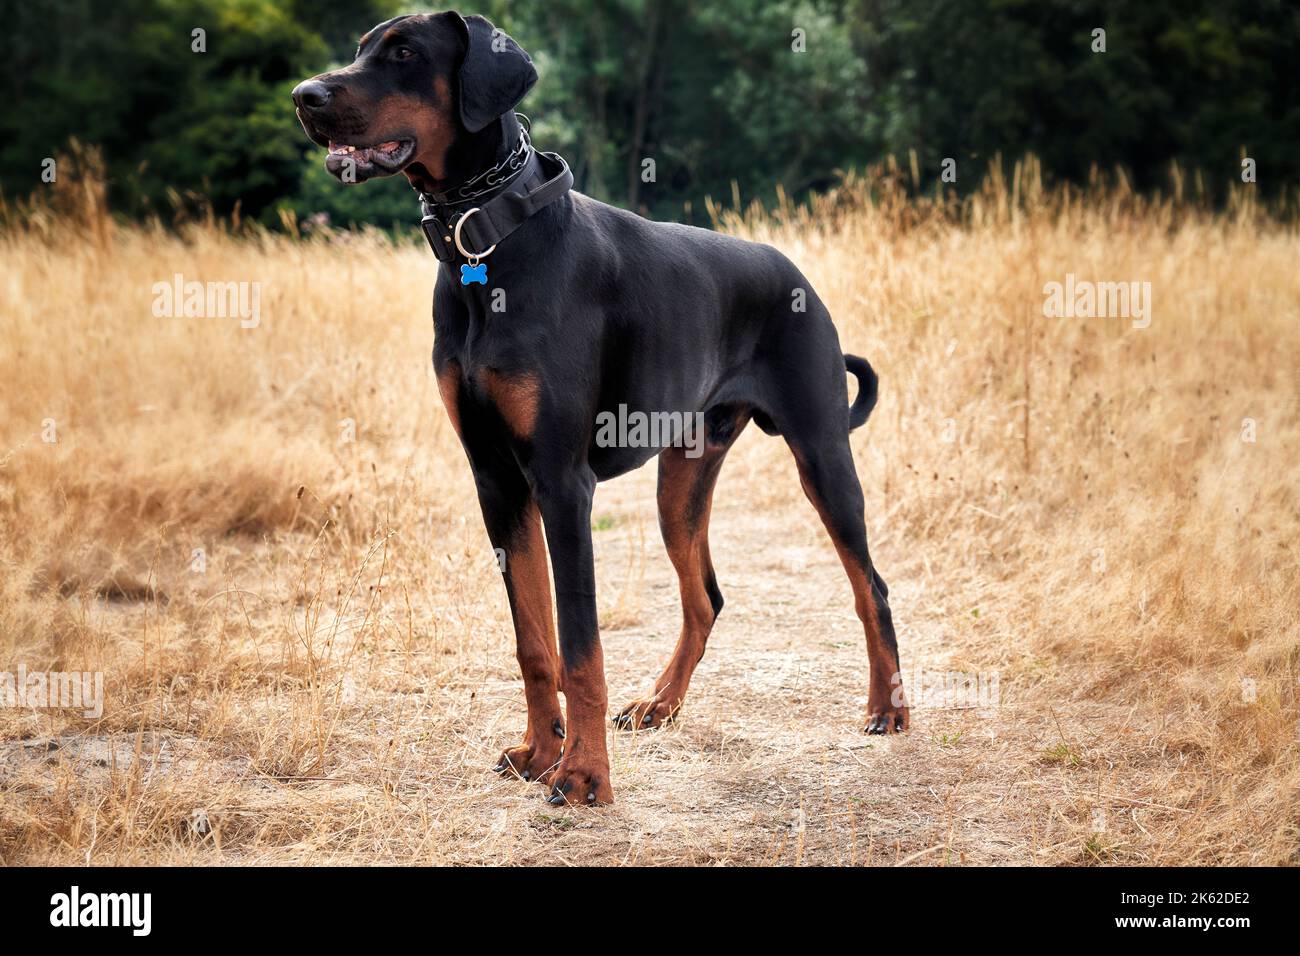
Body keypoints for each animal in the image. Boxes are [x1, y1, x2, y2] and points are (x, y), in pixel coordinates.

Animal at [295, 13, 909, 806]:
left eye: (403, 52)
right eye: (362, 46)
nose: (305, 96)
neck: (486, 243)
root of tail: (797, 273)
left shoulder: (562, 484)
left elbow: (582, 645)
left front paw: (585, 774)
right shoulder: (497, 481)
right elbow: (535, 640)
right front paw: (539, 751)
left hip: (822, 455)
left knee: (872, 587)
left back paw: (887, 708)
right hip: (683, 477)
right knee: (704, 596)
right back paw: (660, 704)